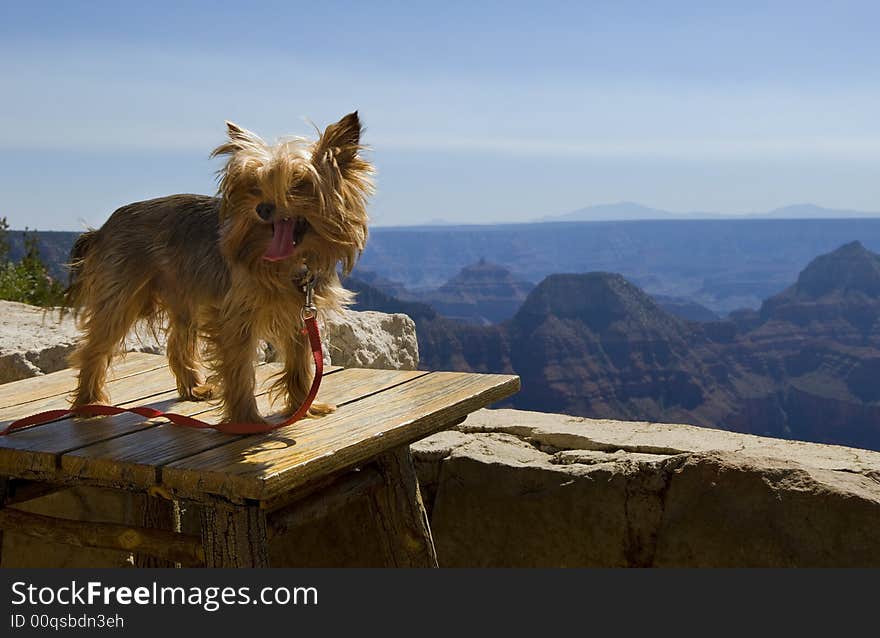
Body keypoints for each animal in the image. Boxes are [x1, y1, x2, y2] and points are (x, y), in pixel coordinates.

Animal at [65, 113, 372, 428]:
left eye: (298, 184)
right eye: (253, 186)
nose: (262, 208)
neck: (290, 264)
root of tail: (103, 228)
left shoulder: (300, 313)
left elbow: (299, 363)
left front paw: (304, 406)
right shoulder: (236, 317)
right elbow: (239, 370)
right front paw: (247, 421)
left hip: (182, 294)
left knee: (177, 342)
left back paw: (193, 388)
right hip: (123, 293)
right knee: (95, 346)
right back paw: (89, 402)